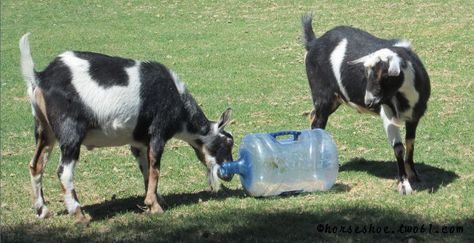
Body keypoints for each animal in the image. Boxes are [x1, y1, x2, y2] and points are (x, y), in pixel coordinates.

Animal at [20, 32, 235, 224]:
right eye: (226, 144)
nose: (229, 175)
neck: (177, 100)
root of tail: (40, 78)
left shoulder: (139, 142)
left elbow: (146, 169)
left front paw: (154, 199)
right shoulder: (158, 133)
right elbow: (155, 168)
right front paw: (155, 206)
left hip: (44, 130)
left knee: (36, 165)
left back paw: (42, 210)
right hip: (70, 132)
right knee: (63, 172)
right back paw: (79, 215)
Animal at [302, 14, 432, 195]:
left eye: (385, 75)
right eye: (366, 74)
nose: (369, 101)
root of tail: (314, 43)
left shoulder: (415, 116)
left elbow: (410, 143)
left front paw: (413, 174)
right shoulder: (388, 115)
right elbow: (399, 147)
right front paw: (404, 185)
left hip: (334, 100)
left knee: (313, 117)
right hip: (322, 96)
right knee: (318, 124)